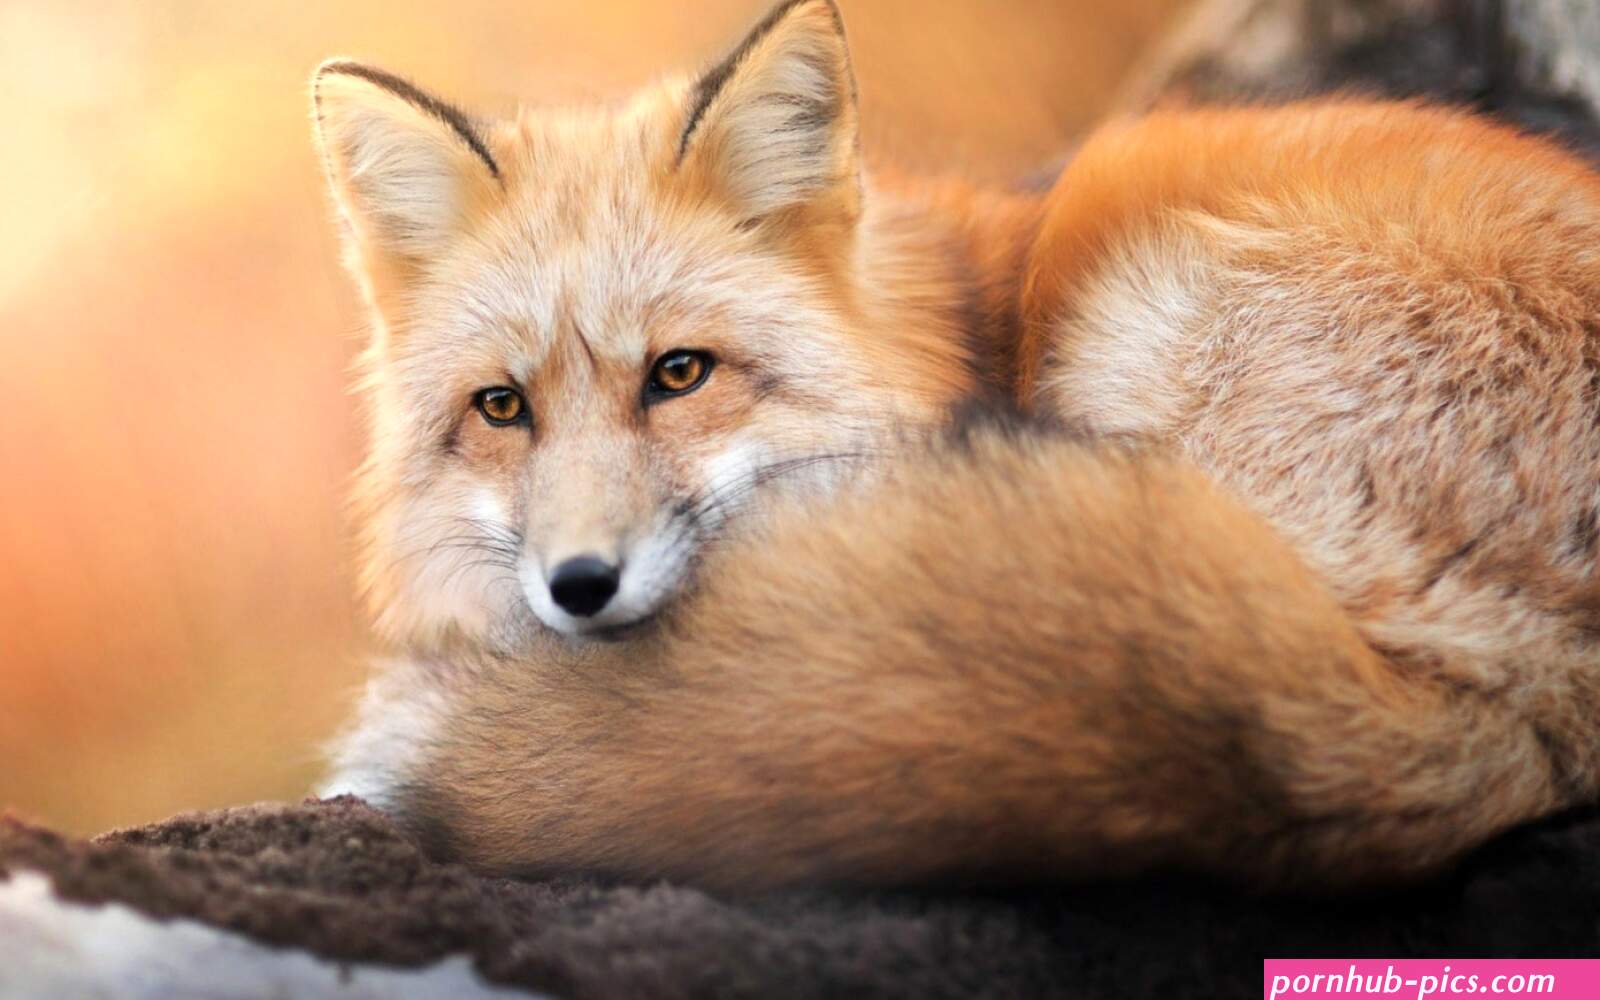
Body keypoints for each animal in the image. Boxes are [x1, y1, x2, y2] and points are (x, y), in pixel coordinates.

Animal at [312, 0, 1600, 890]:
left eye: (679, 374)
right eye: (501, 408)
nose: (577, 585)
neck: (939, 333)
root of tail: (1525, 724)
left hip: (1142, 311)